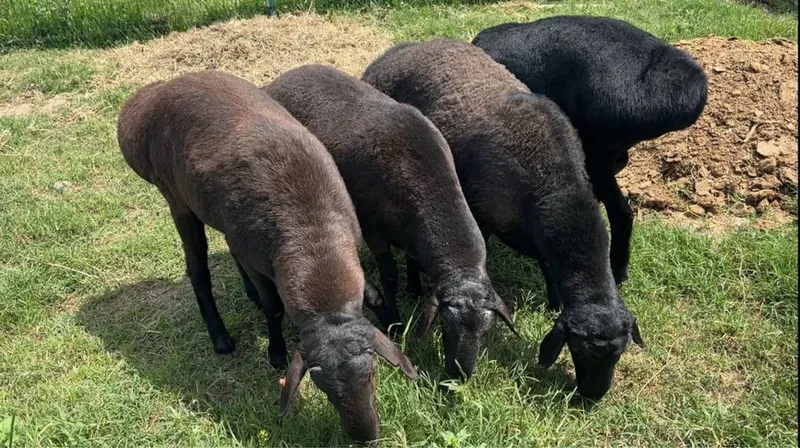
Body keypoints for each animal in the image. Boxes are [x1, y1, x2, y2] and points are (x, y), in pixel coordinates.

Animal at [116, 70, 418, 443]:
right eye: (324, 390)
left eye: (373, 374)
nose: (367, 438)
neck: (314, 235)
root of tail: (143, 104)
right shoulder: (261, 263)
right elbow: (274, 307)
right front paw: (275, 351)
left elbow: (371, 292)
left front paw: (389, 317)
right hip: (177, 199)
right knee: (197, 270)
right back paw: (220, 337)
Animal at [265, 64, 517, 380]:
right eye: (446, 325)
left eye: (486, 331)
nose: (458, 376)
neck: (427, 185)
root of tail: (284, 76)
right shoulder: (375, 233)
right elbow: (389, 277)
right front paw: (396, 324)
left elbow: (413, 260)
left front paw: (415, 288)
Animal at [363, 40, 644, 400]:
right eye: (578, 351)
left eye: (620, 353)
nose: (594, 397)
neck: (555, 183)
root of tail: (392, 53)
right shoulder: (480, 215)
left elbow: (546, 265)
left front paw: (553, 302)